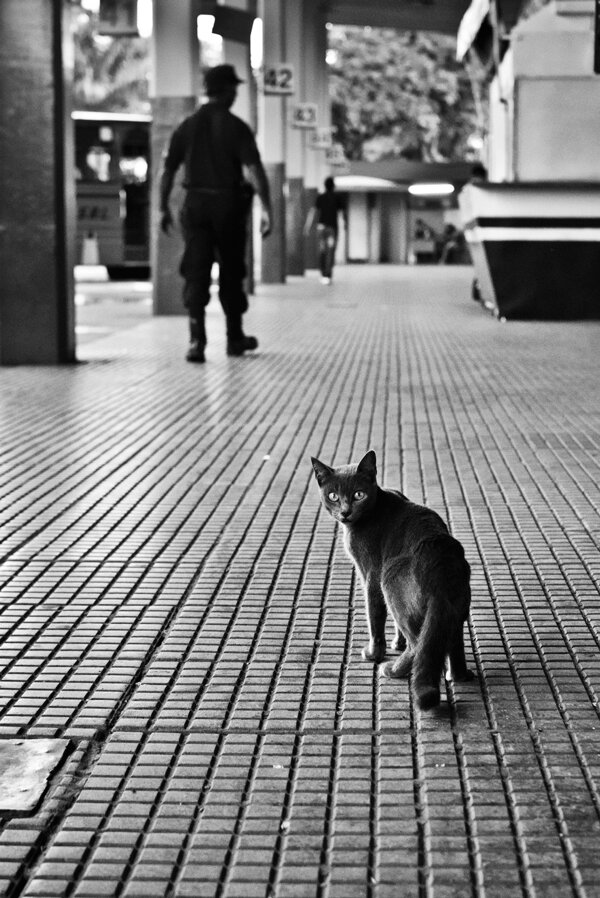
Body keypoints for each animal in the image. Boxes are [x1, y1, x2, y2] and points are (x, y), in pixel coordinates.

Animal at [310, 448, 474, 708]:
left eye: (358, 495)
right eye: (333, 496)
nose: (345, 512)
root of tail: (439, 562)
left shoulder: (370, 573)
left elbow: (375, 615)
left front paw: (374, 653)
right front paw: (398, 642)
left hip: (389, 578)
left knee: (418, 645)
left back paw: (392, 670)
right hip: (455, 607)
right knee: (447, 640)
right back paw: (456, 674)